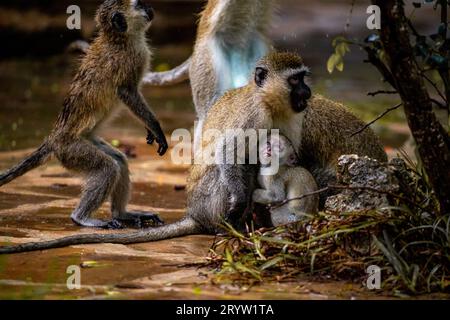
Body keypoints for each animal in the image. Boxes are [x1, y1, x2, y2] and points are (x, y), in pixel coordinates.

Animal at [0, 52, 386, 252]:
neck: (271, 104)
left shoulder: (295, 120)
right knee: (227, 171)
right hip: (208, 201)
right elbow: (231, 153)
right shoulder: (253, 115)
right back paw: (229, 223)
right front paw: (240, 202)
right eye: (296, 79)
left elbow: (287, 158)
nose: (307, 91)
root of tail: (195, 213)